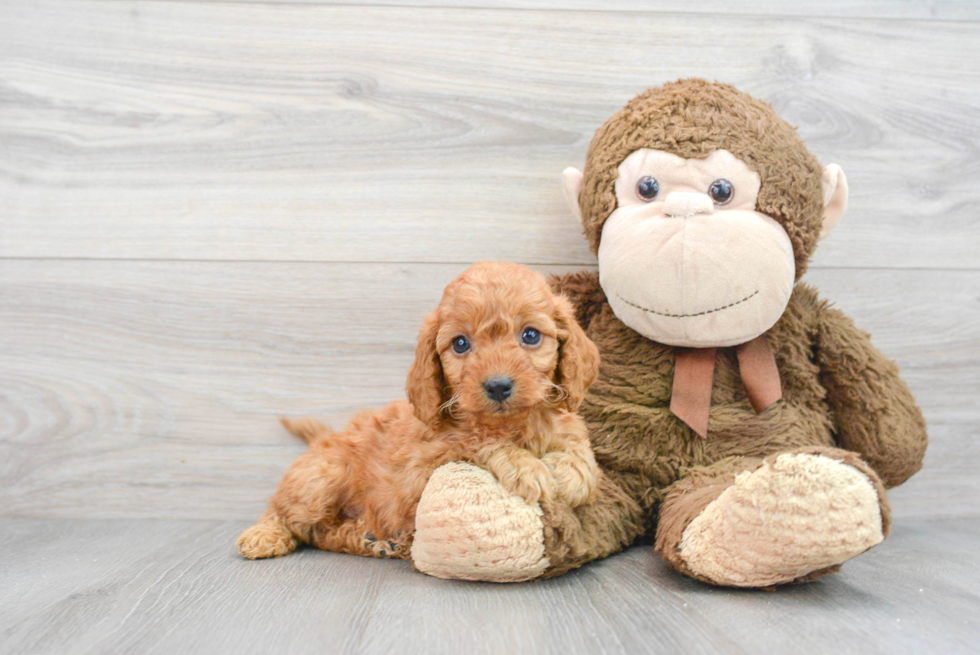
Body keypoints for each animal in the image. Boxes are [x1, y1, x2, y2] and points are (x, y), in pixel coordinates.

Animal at [239, 264, 604, 560]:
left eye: (530, 335)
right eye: (460, 344)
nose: (498, 386)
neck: (514, 423)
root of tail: (325, 439)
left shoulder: (566, 423)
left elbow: (579, 448)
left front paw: (571, 472)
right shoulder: (425, 464)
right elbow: (476, 439)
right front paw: (525, 466)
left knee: (324, 531)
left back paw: (372, 539)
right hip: (320, 478)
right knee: (290, 513)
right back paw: (263, 535)